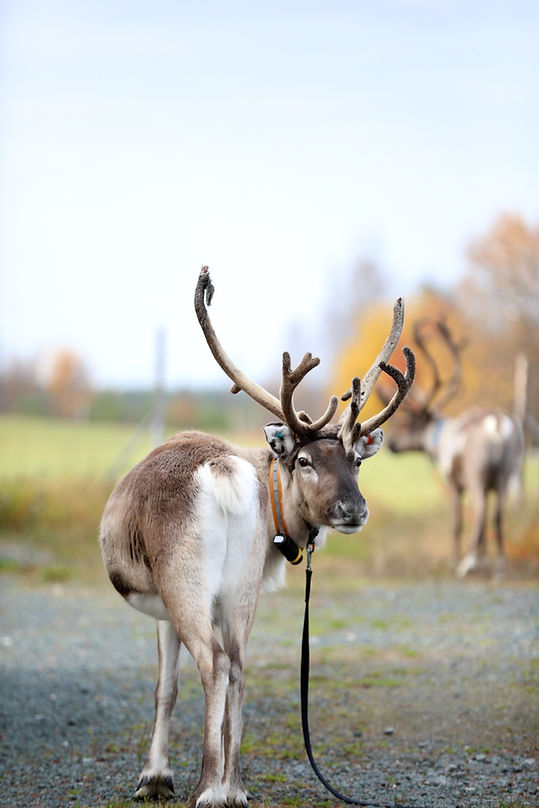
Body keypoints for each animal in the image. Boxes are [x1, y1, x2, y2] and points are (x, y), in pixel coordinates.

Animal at [99, 266, 415, 808]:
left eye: (356, 460)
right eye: (306, 460)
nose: (354, 509)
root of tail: (223, 473)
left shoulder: (162, 607)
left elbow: (165, 686)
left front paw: (153, 777)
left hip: (185, 584)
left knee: (215, 665)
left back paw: (209, 789)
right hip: (239, 587)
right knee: (240, 666)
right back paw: (236, 788)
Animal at [383, 318, 525, 578]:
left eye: (407, 424)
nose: (392, 445)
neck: (440, 440)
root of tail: (497, 424)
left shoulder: (454, 483)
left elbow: (457, 522)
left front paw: (459, 560)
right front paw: (484, 561)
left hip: (477, 474)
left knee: (480, 511)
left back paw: (466, 564)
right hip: (506, 472)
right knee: (498, 515)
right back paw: (500, 566)